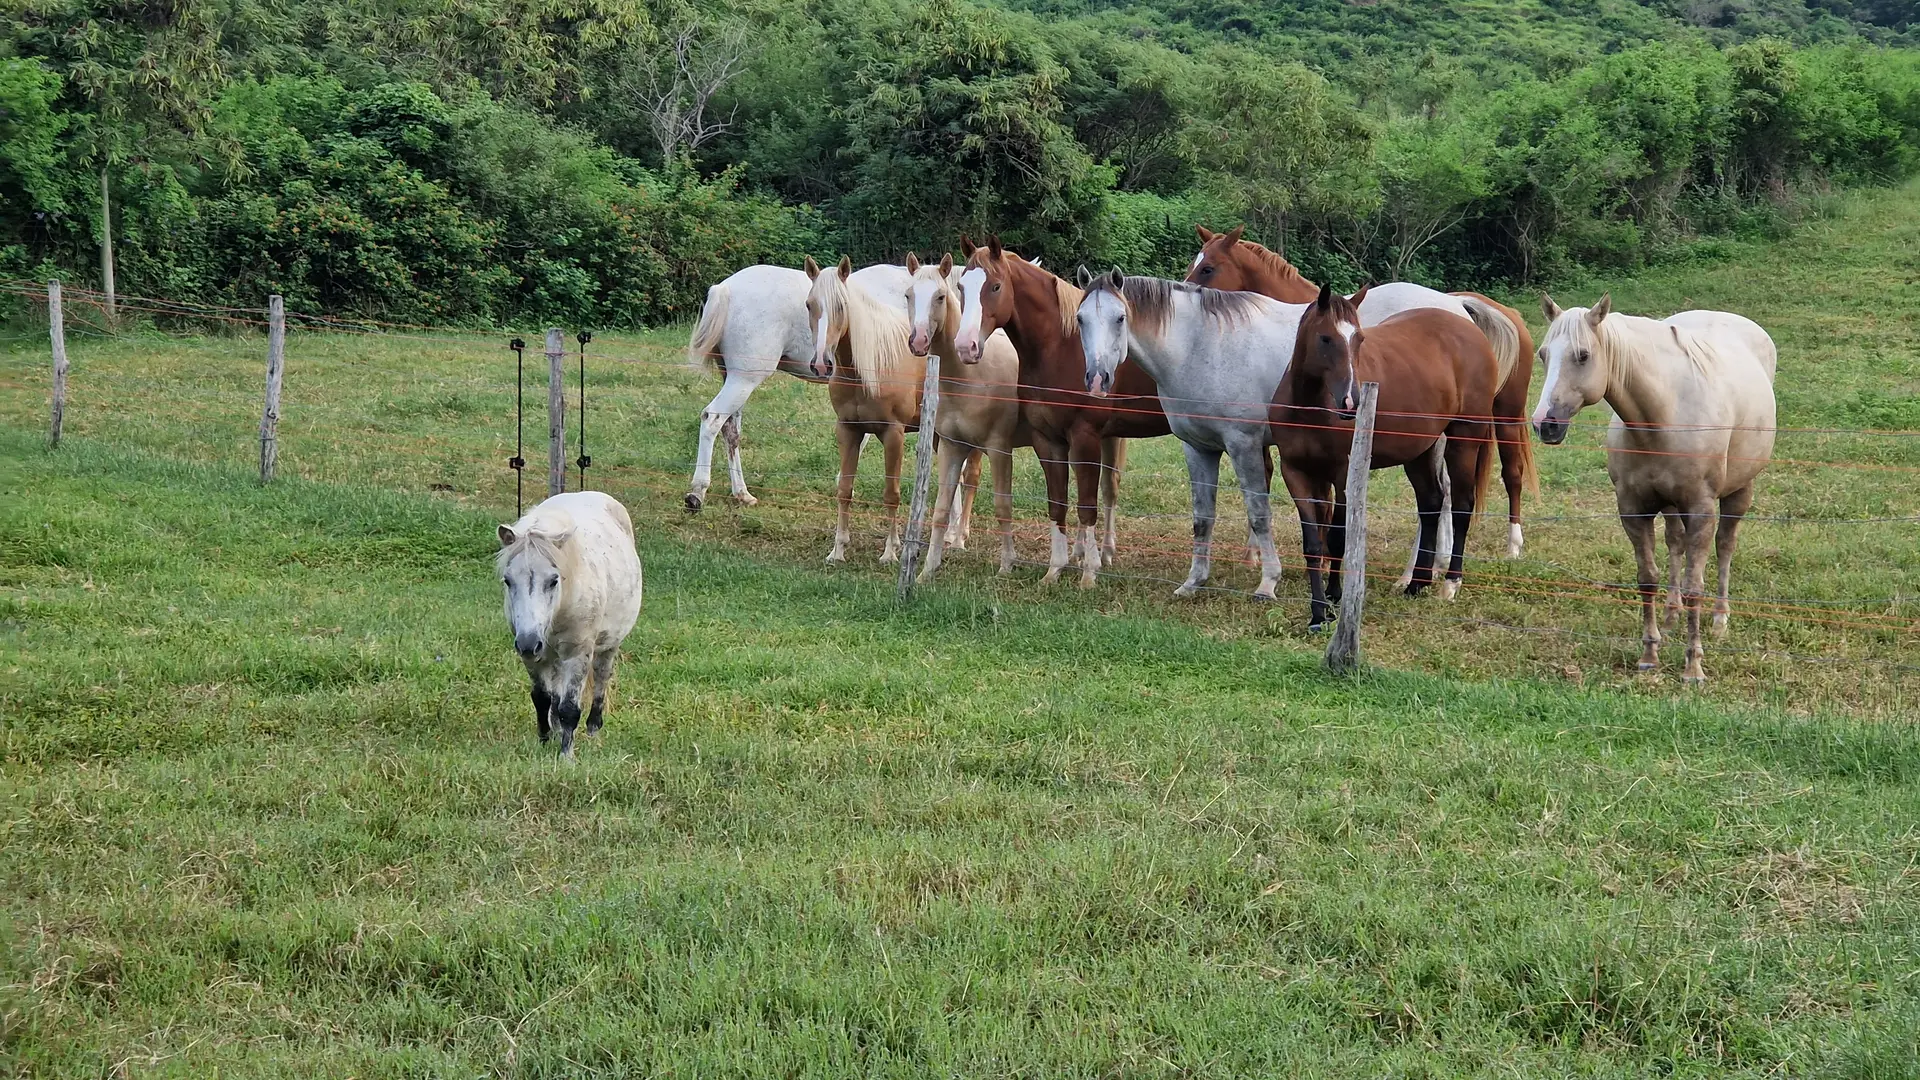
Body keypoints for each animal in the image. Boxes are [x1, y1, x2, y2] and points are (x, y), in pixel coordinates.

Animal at [499, 490, 641, 757]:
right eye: (508, 580)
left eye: (553, 580)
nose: (528, 642)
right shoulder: (532, 657)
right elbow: (542, 699)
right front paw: (544, 742)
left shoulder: (577, 653)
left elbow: (569, 708)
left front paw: (567, 756)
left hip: (608, 646)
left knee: (601, 678)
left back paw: (593, 729)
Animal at [1075, 263, 1505, 591]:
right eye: (1080, 319)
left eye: (1120, 318)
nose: (1097, 379)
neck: (1200, 346)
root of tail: (1455, 309)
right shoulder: (1198, 447)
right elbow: (1202, 517)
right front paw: (1194, 581)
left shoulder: (1244, 445)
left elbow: (1259, 513)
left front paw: (1269, 581)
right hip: (1425, 442)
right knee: (1437, 499)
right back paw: (1422, 574)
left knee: (1445, 500)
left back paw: (1428, 577)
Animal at [1274, 286, 1497, 630]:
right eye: (1325, 338)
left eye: (1359, 339)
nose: (1350, 401)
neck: (1308, 407)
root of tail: (1469, 328)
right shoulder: (1295, 474)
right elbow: (1313, 544)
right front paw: (1317, 613)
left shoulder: (1343, 475)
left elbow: (1338, 539)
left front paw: (1335, 596)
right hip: (1420, 451)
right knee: (1431, 504)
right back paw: (1417, 583)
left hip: (1464, 439)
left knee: (1461, 505)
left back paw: (1450, 583)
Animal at [1528, 294, 1781, 680]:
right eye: (1543, 354)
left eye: (1583, 355)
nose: (1545, 424)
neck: (1663, 415)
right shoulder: (1634, 509)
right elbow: (1648, 578)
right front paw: (1650, 655)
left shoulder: (1701, 509)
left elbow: (1695, 586)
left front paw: (1693, 666)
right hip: (1673, 506)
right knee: (1676, 544)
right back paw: (1671, 613)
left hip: (1739, 491)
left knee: (1725, 546)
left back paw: (1720, 619)